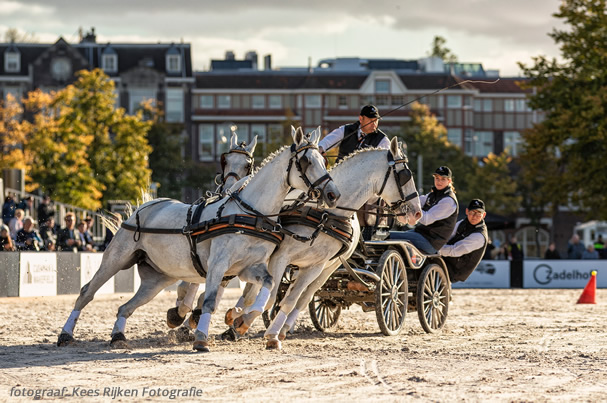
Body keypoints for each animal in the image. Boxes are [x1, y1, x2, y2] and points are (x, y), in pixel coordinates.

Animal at [55, 127, 342, 354]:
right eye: (306, 161)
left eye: (323, 160)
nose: (332, 193)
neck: (251, 213)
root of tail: (145, 206)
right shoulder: (218, 265)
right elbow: (210, 300)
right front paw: (202, 338)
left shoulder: (250, 267)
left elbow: (269, 288)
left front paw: (241, 319)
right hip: (115, 259)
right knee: (87, 293)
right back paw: (66, 334)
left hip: (158, 279)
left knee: (125, 307)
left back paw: (118, 335)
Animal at [222, 137, 422, 348]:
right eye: (405, 175)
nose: (417, 212)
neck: (326, 215)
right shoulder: (280, 256)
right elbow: (270, 294)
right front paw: (241, 320)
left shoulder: (315, 266)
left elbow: (290, 300)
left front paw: (270, 333)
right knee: (254, 291)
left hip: (327, 269)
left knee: (303, 297)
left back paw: (279, 327)